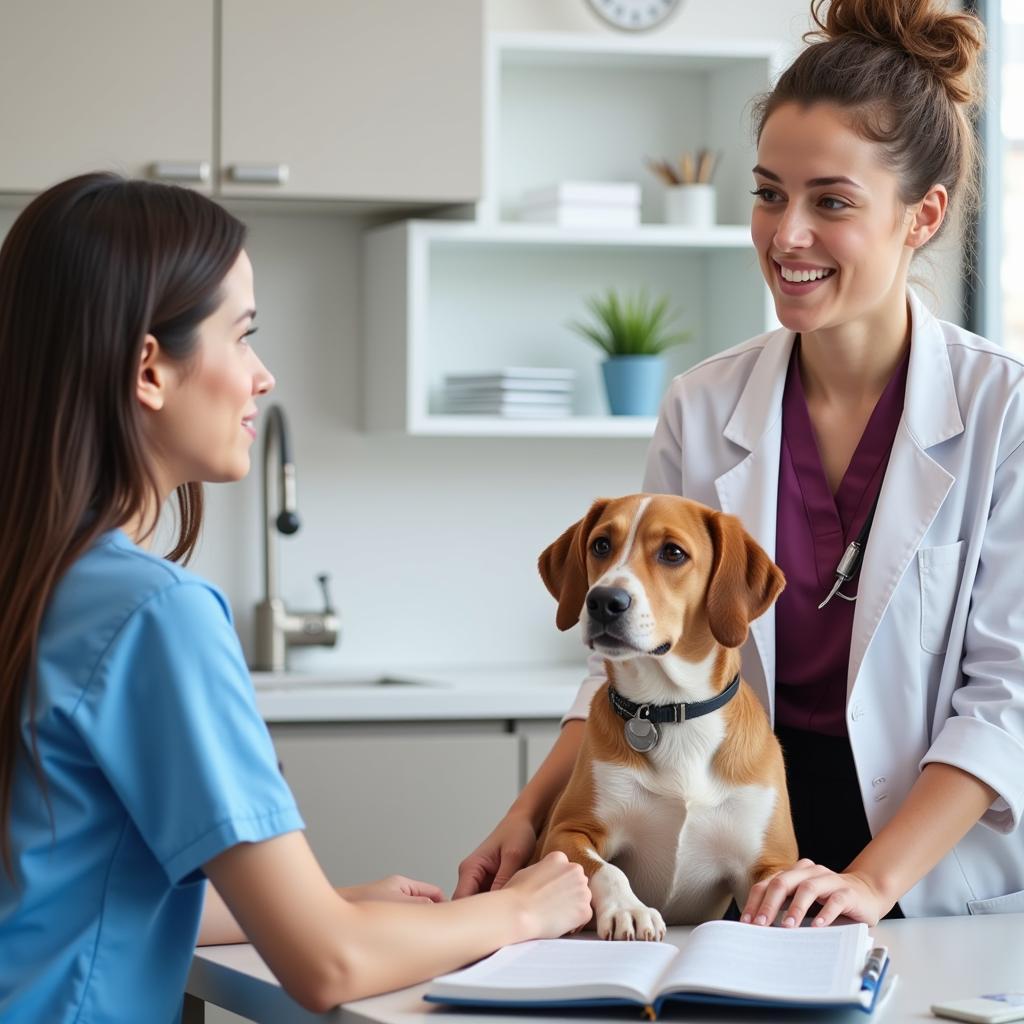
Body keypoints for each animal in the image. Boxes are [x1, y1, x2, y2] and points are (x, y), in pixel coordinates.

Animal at [536, 491, 798, 937]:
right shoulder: (566, 832)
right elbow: (608, 870)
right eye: (601, 545)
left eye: (673, 553)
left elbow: (780, 893)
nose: (604, 601)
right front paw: (630, 909)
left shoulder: (769, 864)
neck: (670, 709)